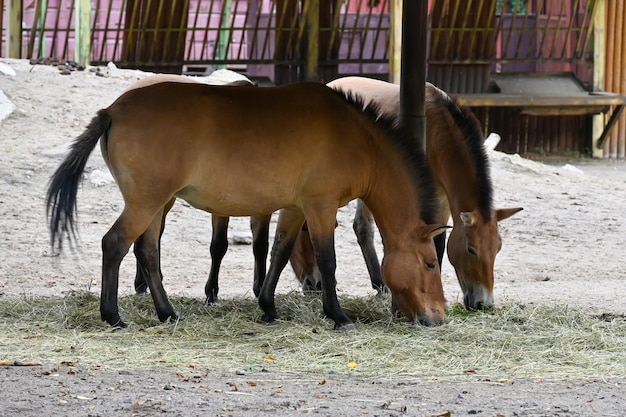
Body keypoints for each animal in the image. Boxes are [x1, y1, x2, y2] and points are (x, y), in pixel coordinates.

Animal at [46, 80, 446, 328]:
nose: (439, 317)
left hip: (157, 204)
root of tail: (113, 110)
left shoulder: (294, 208)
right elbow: (328, 261)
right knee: (114, 244)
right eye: (430, 263)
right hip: (146, 203)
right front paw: (338, 315)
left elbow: (279, 254)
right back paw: (113, 316)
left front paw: (268, 307)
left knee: (147, 253)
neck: (356, 137)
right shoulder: (321, 207)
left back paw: (167, 313)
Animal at [288, 76, 520, 308]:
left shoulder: (443, 200)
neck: (438, 131)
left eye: (498, 247)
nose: (484, 304)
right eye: (471, 249)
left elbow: (438, 240)